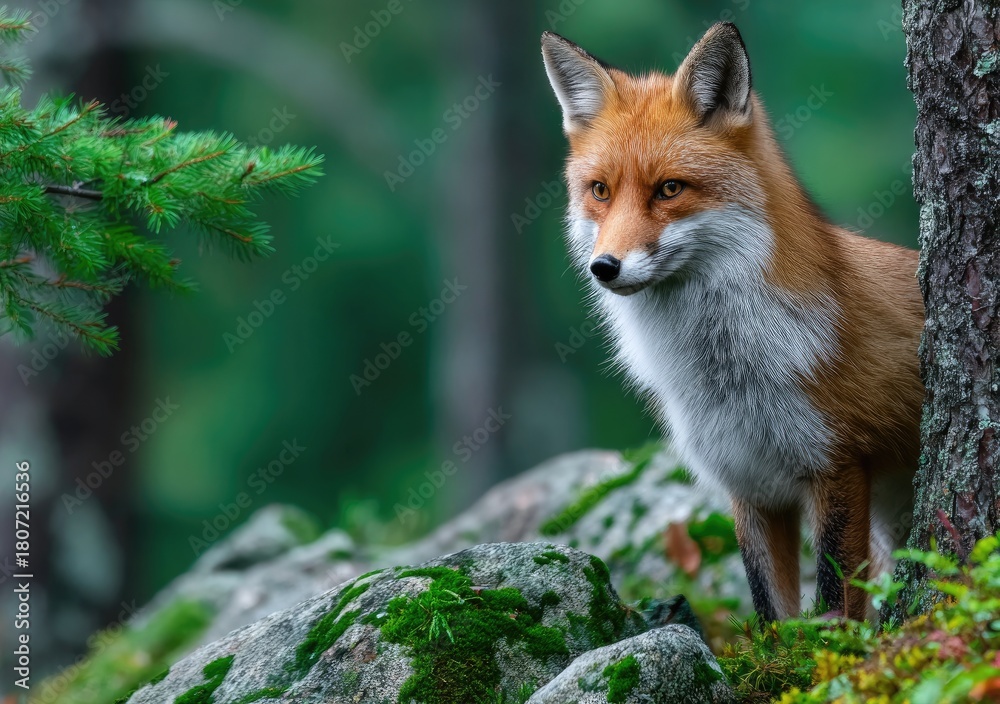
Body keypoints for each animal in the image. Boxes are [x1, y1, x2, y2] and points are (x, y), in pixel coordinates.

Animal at [541, 23, 924, 623]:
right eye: (600, 191)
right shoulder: (748, 483)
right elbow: (770, 613)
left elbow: (835, 604)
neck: (726, 371)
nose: (604, 267)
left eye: (669, 189)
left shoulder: (838, 465)